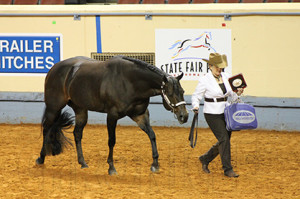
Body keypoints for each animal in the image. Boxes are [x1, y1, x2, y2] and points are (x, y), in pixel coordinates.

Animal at [35, 55, 189, 175]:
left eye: (182, 91)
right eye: (170, 93)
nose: (184, 116)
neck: (129, 82)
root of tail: (54, 69)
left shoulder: (140, 115)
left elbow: (152, 135)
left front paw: (155, 164)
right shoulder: (112, 116)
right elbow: (111, 140)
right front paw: (111, 167)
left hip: (80, 110)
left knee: (77, 133)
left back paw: (82, 163)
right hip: (53, 108)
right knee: (46, 129)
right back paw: (41, 158)